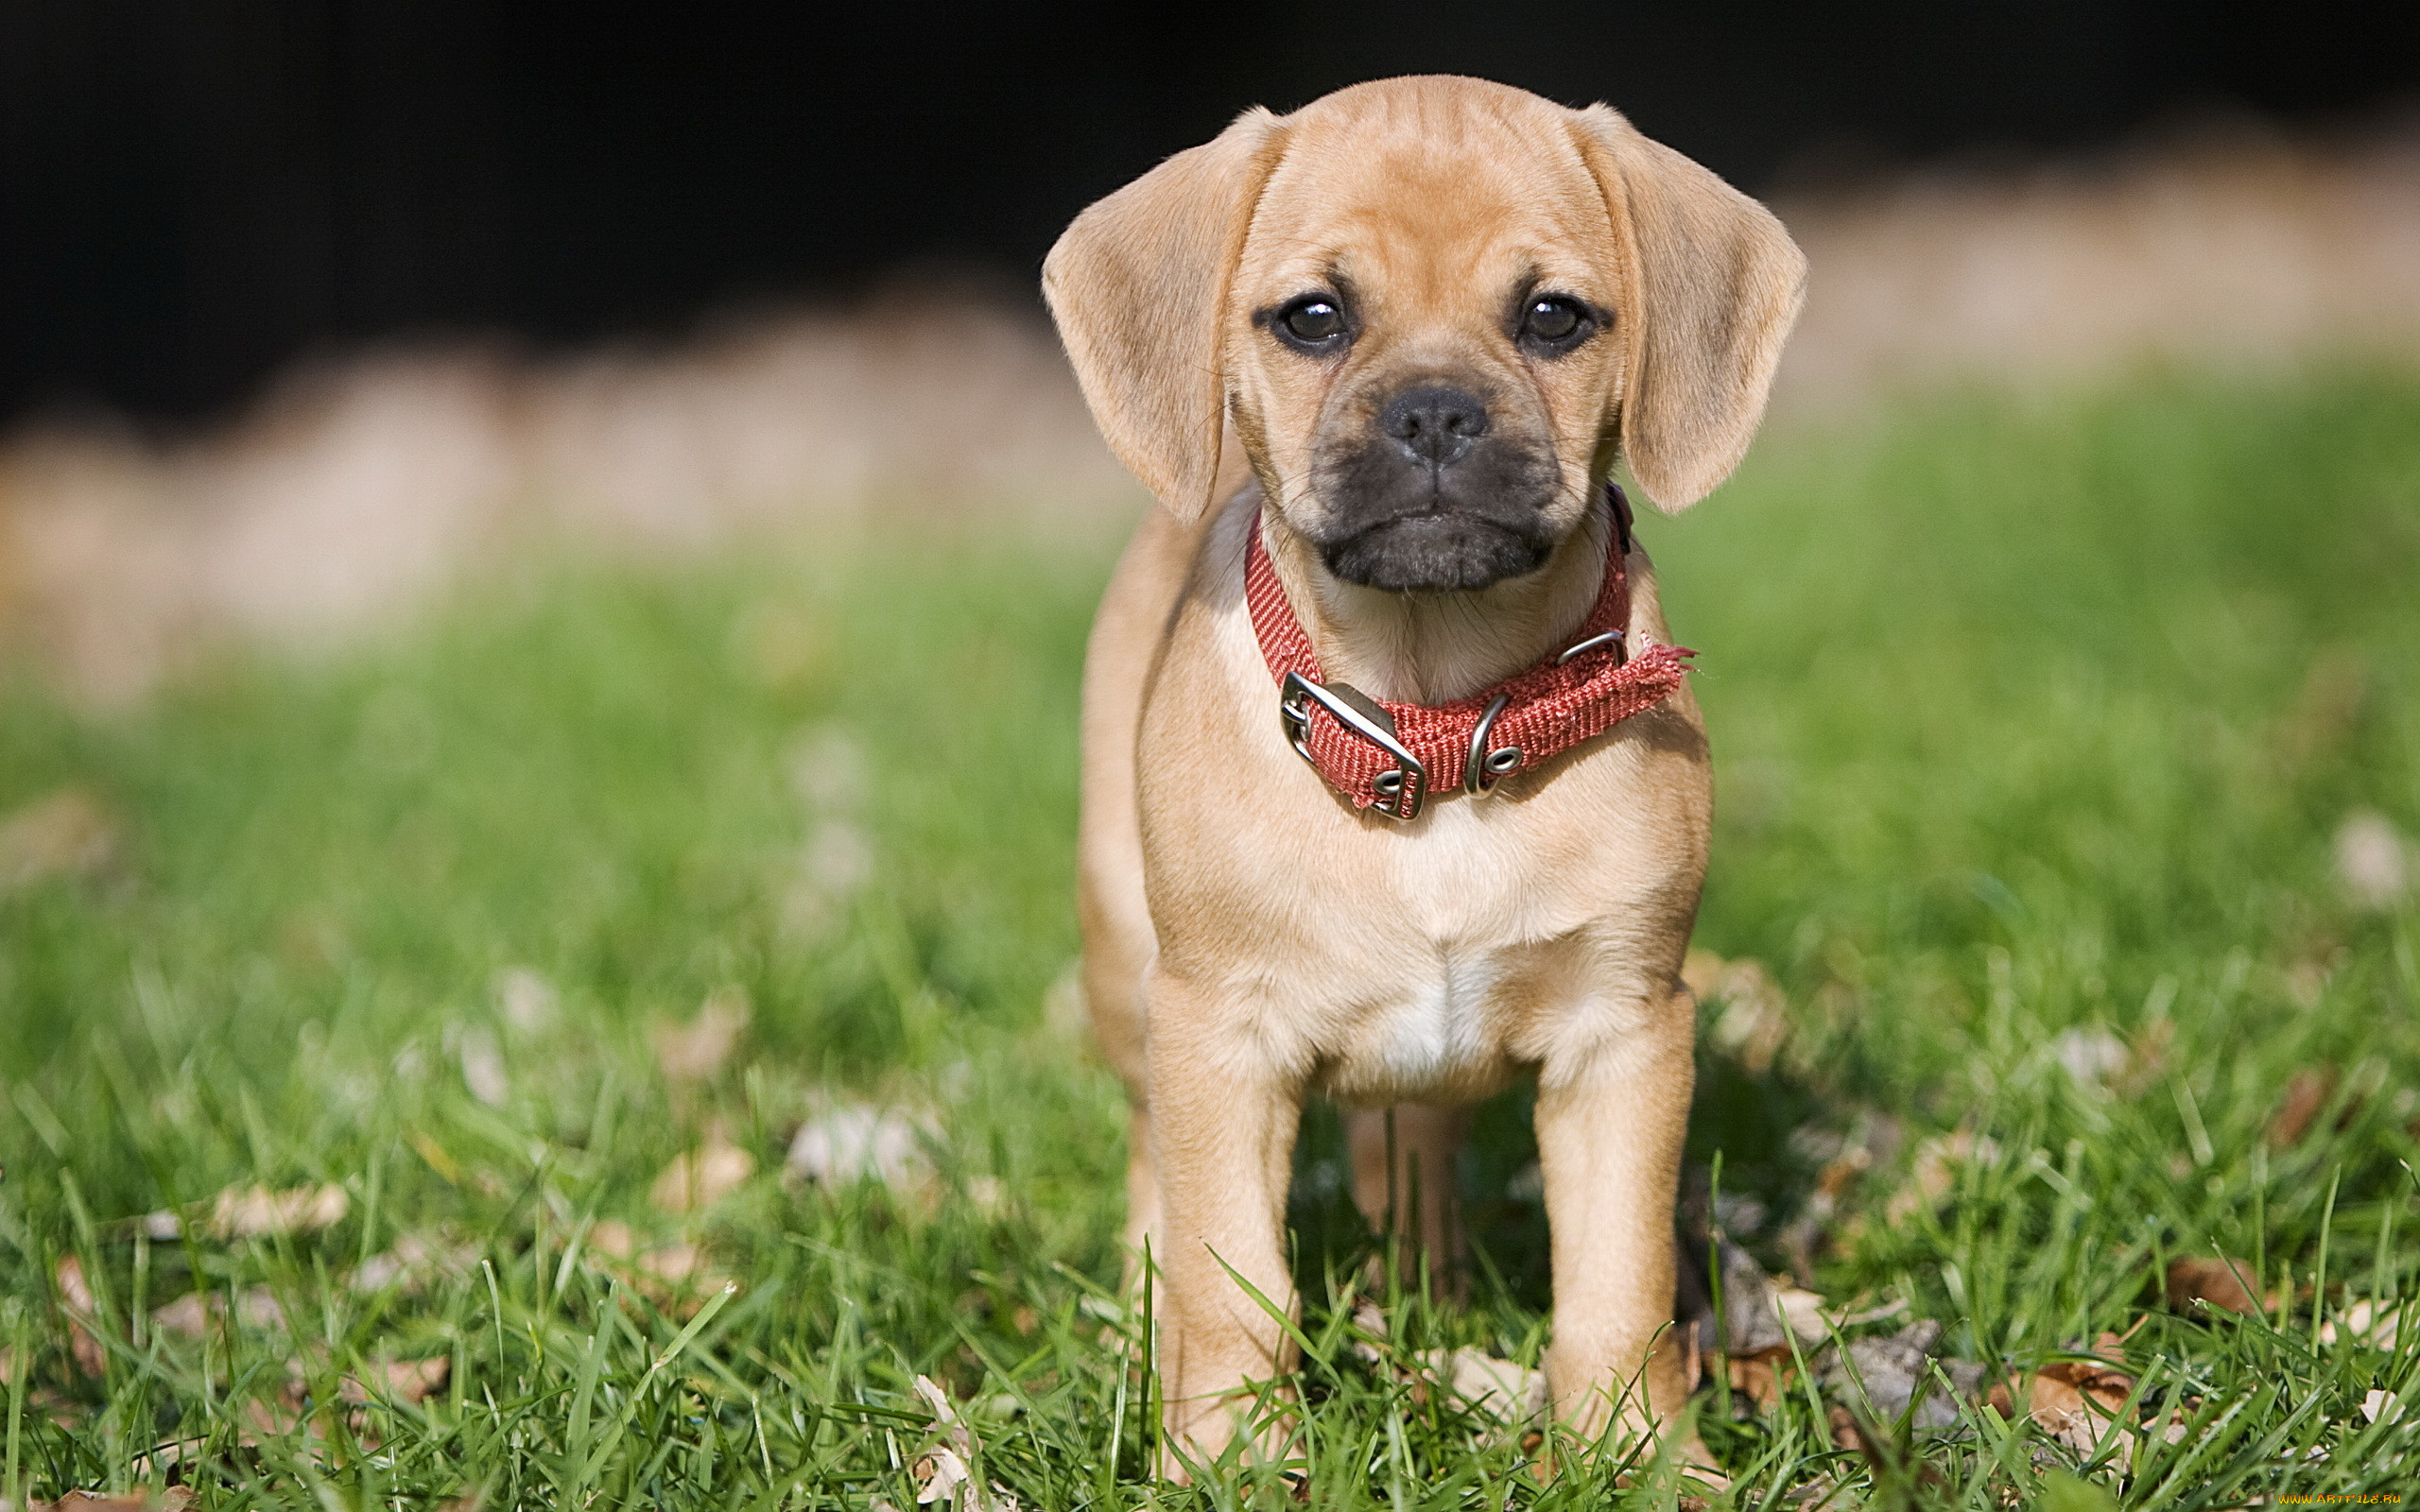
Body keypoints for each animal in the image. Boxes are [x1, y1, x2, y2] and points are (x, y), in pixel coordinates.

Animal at [1040, 77, 1800, 1470]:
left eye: (1553, 316)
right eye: (1314, 316)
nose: (1438, 411)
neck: (1433, 714)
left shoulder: (1626, 1035)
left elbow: (1616, 1288)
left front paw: (1640, 1457)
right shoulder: (1220, 1040)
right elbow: (1232, 1284)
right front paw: (1229, 1460)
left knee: (1415, 1156)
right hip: (1129, 968)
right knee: (1150, 1179)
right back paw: (1137, 1332)